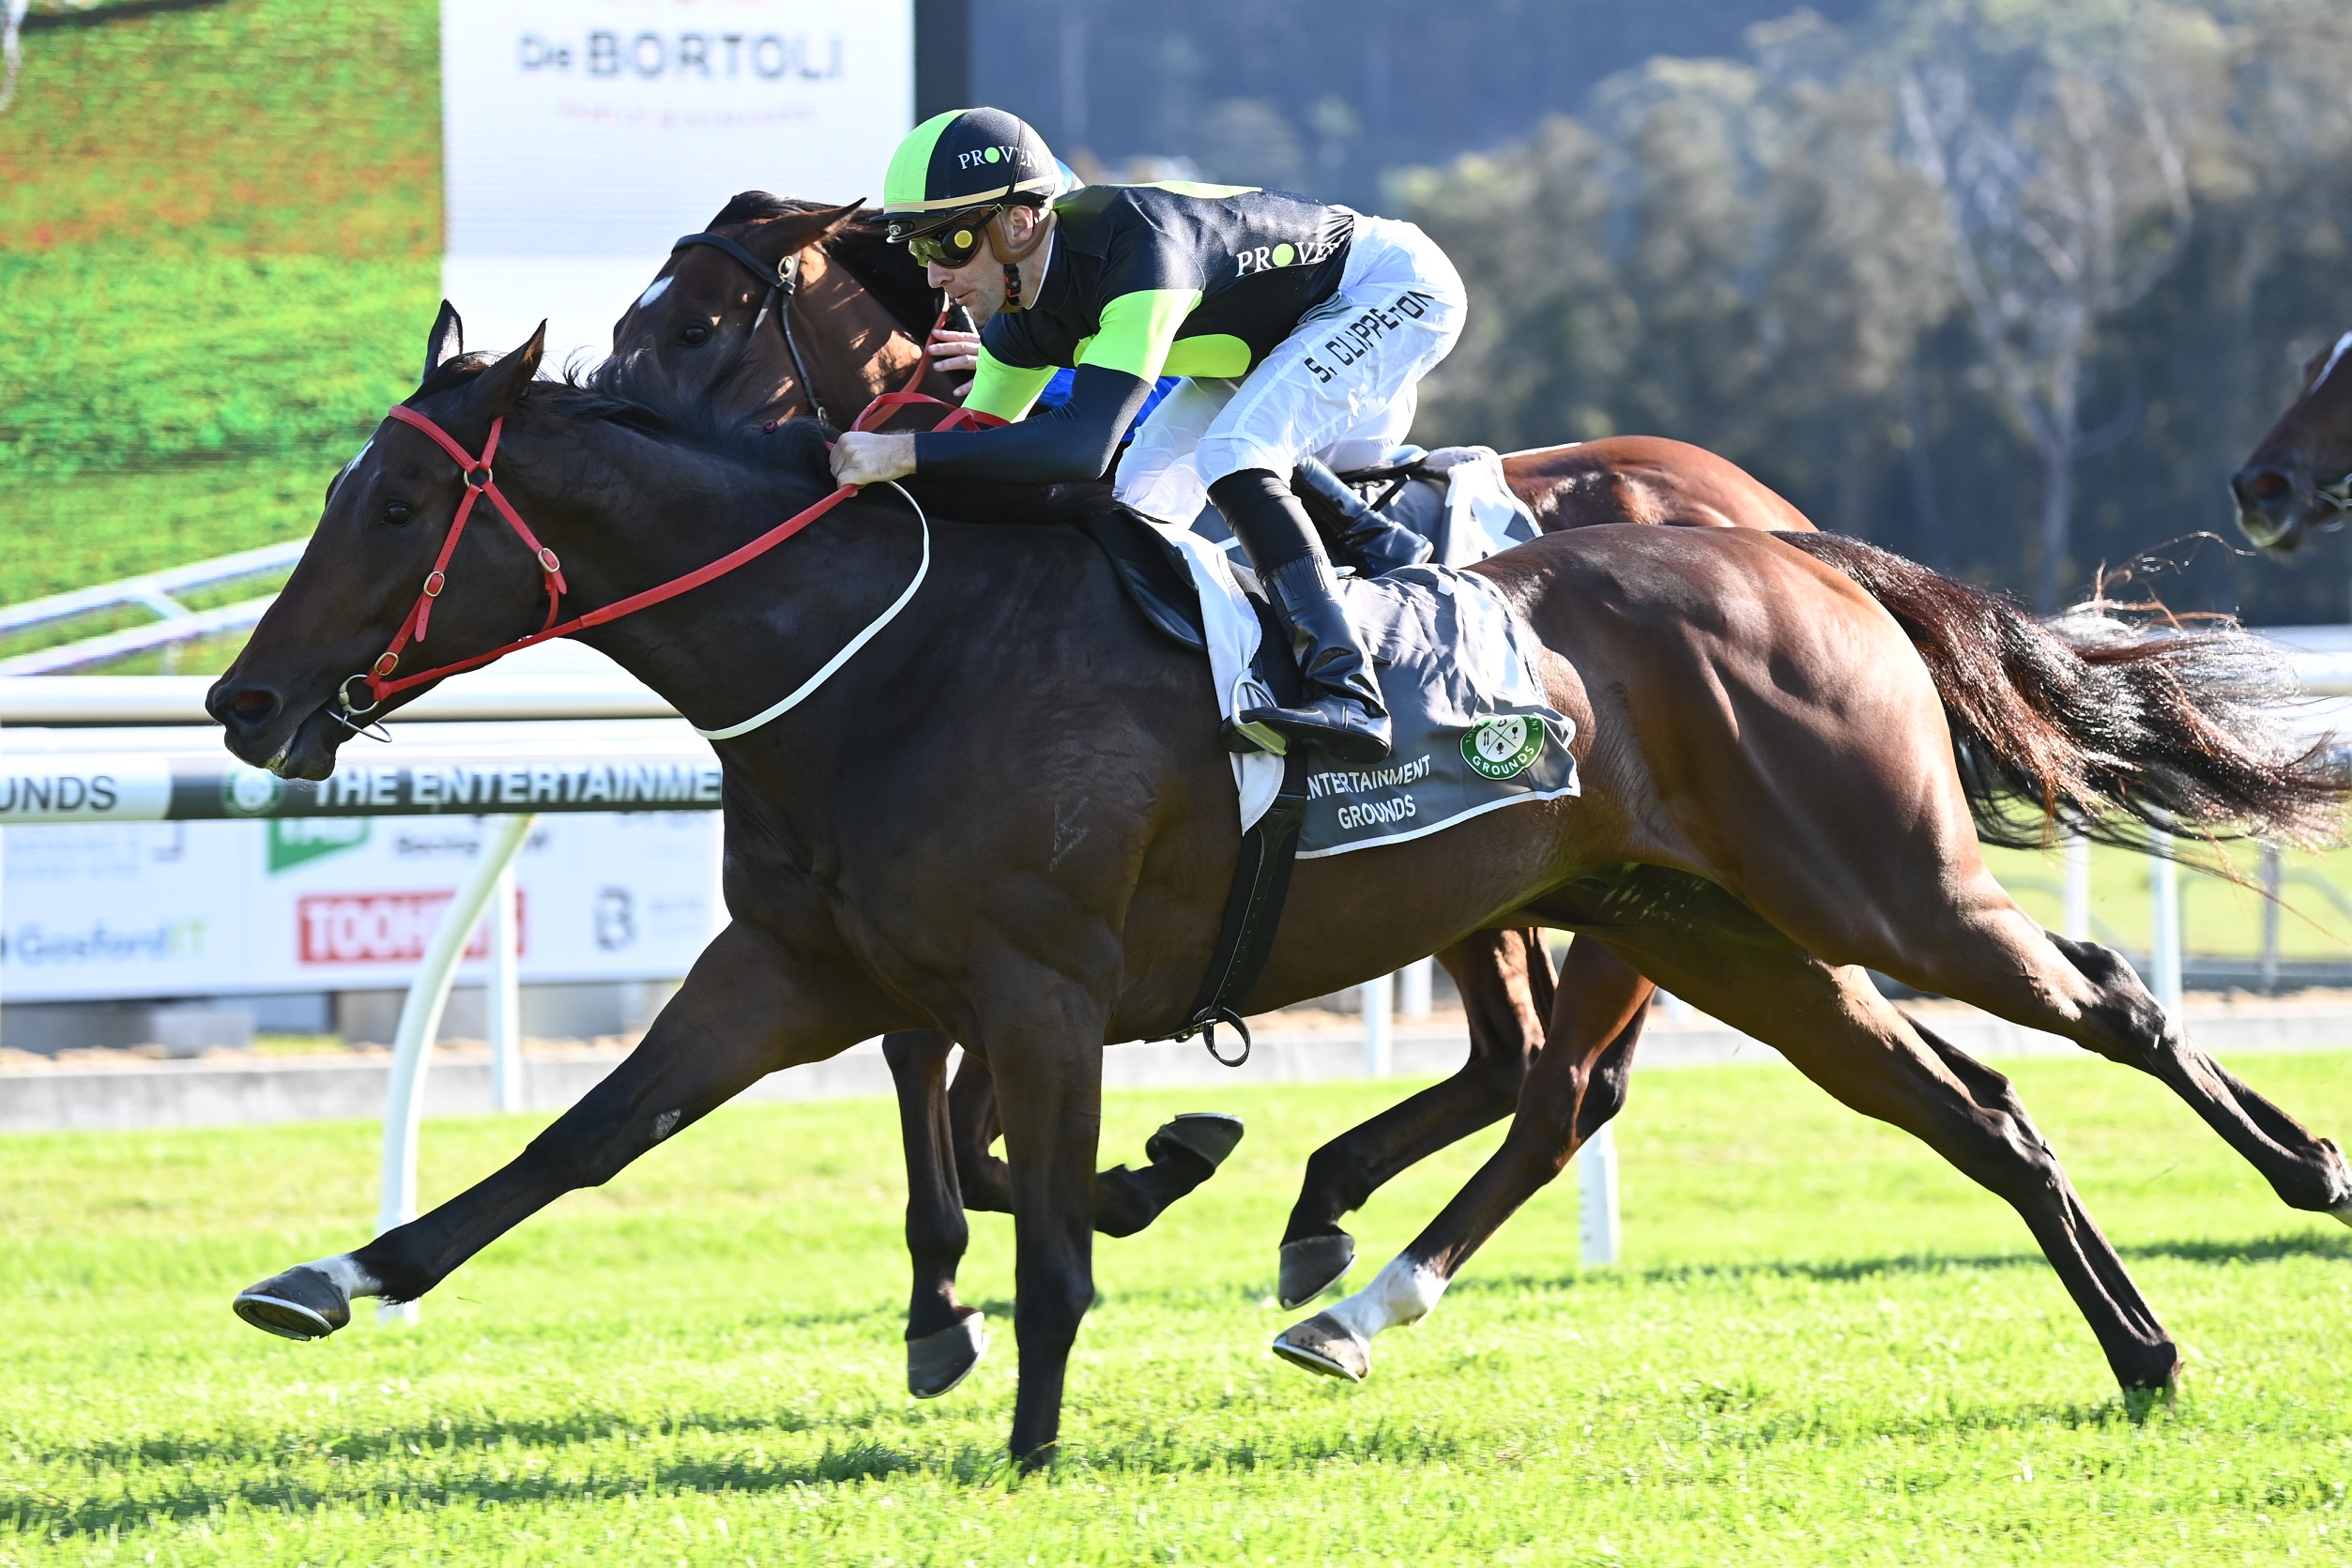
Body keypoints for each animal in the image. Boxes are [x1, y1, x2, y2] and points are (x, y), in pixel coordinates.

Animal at [602, 191, 1824, 1358]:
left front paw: (1025, 1249)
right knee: (1509, 1058)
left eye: (694, 326)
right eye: (626, 325)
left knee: (1561, 1089)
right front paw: (953, 1286)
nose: (608, 407)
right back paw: (1325, 1207)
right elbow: (921, 1061)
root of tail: (1770, 515)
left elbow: (962, 1095)